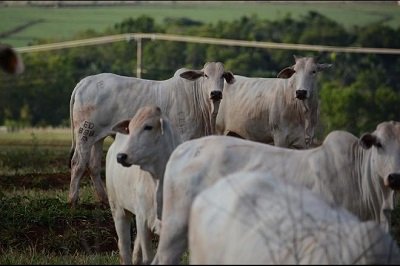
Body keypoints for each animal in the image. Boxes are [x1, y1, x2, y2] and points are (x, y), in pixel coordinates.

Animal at [68, 61, 234, 206]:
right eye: (206, 75)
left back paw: (103, 199)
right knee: (78, 163)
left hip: (98, 136)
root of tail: (84, 82)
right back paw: (73, 199)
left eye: (223, 76)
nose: (215, 93)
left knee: (94, 165)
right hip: (85, 133)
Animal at [106, 105, 181, 264]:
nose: (121, 156)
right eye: (130, 128)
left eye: (148, 127)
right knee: (124, 246)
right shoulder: (143, 219)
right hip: (118, 209)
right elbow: (147, 258)